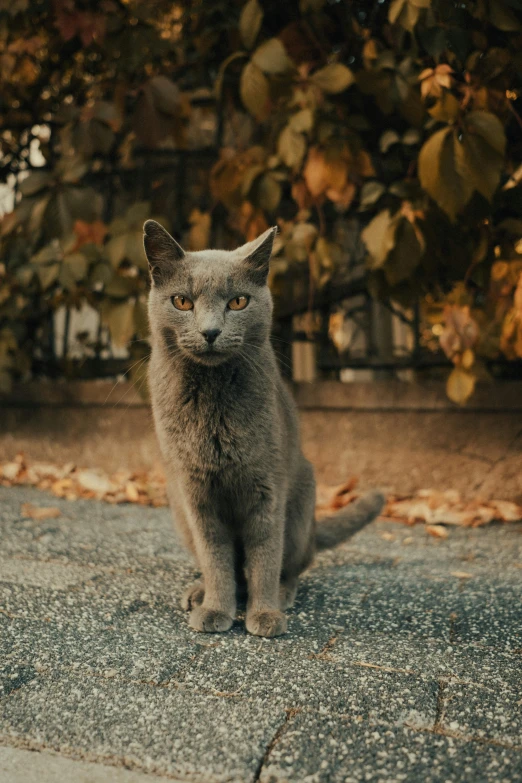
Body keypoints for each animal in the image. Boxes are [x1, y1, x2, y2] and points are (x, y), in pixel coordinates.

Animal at [144, 220, 384, 636]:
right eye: (182, 302)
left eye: (238, 302)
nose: (210, 331)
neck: (212, 402)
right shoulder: (196, 493)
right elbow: (216, 558)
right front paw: (215, 609)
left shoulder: (266, 485)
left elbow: (264, 556)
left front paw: (265, 614)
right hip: (177, 506)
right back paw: (198, 592)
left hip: (301, 503)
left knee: (293, 564)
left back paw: (282, 594)